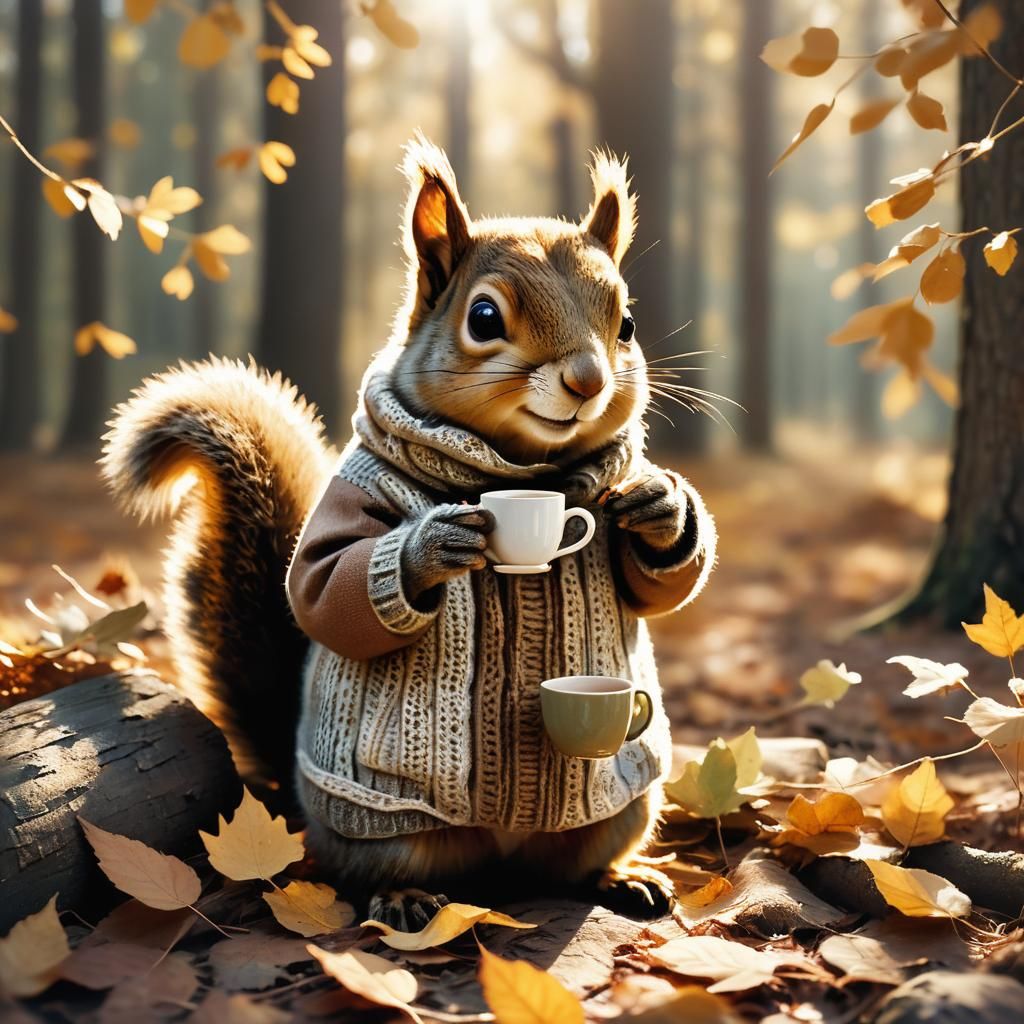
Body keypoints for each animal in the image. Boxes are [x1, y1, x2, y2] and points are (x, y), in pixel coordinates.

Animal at [101, 137, 716, 925]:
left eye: (627, 325)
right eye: (483, 318)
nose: (587, 380)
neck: (527, 471)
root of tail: (500, 862)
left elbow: (653, 588)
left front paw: (662, 506)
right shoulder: (354, 493)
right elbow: (323, 586)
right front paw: (428, 548)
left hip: (620, 805)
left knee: (576, 861)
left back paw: (621, 879)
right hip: (382, 824)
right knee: (366, 869)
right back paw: (404, 899)